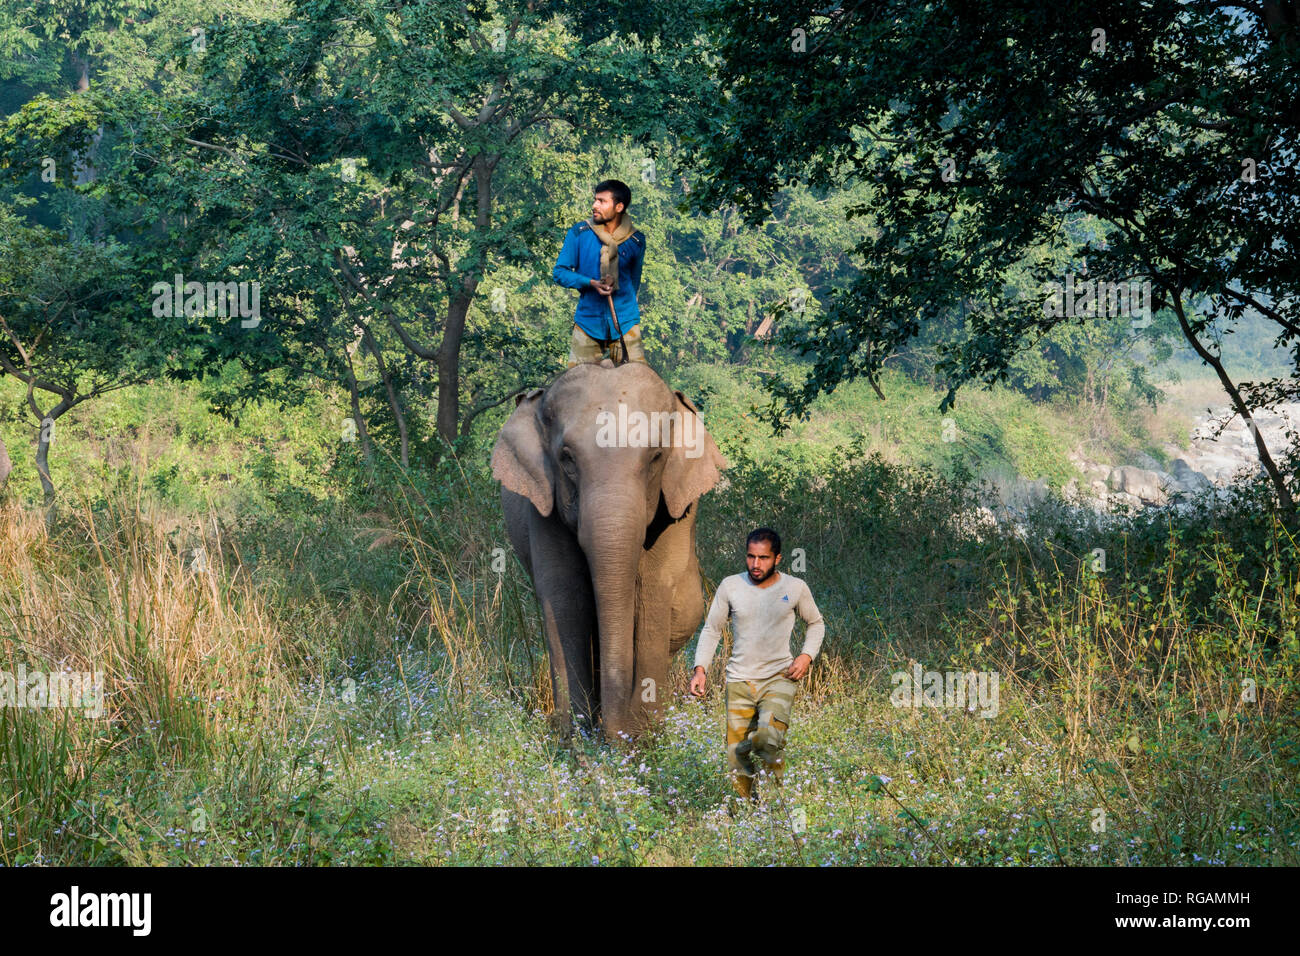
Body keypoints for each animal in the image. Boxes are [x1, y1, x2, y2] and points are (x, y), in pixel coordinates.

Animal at [491, 359, 728, 741]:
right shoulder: (541, 508)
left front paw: (644, 735)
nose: (615, 735)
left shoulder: (673, 512)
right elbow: (564, 594)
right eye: (566, 459)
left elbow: (652, 589)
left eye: (656, 457)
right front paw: (574, 737)